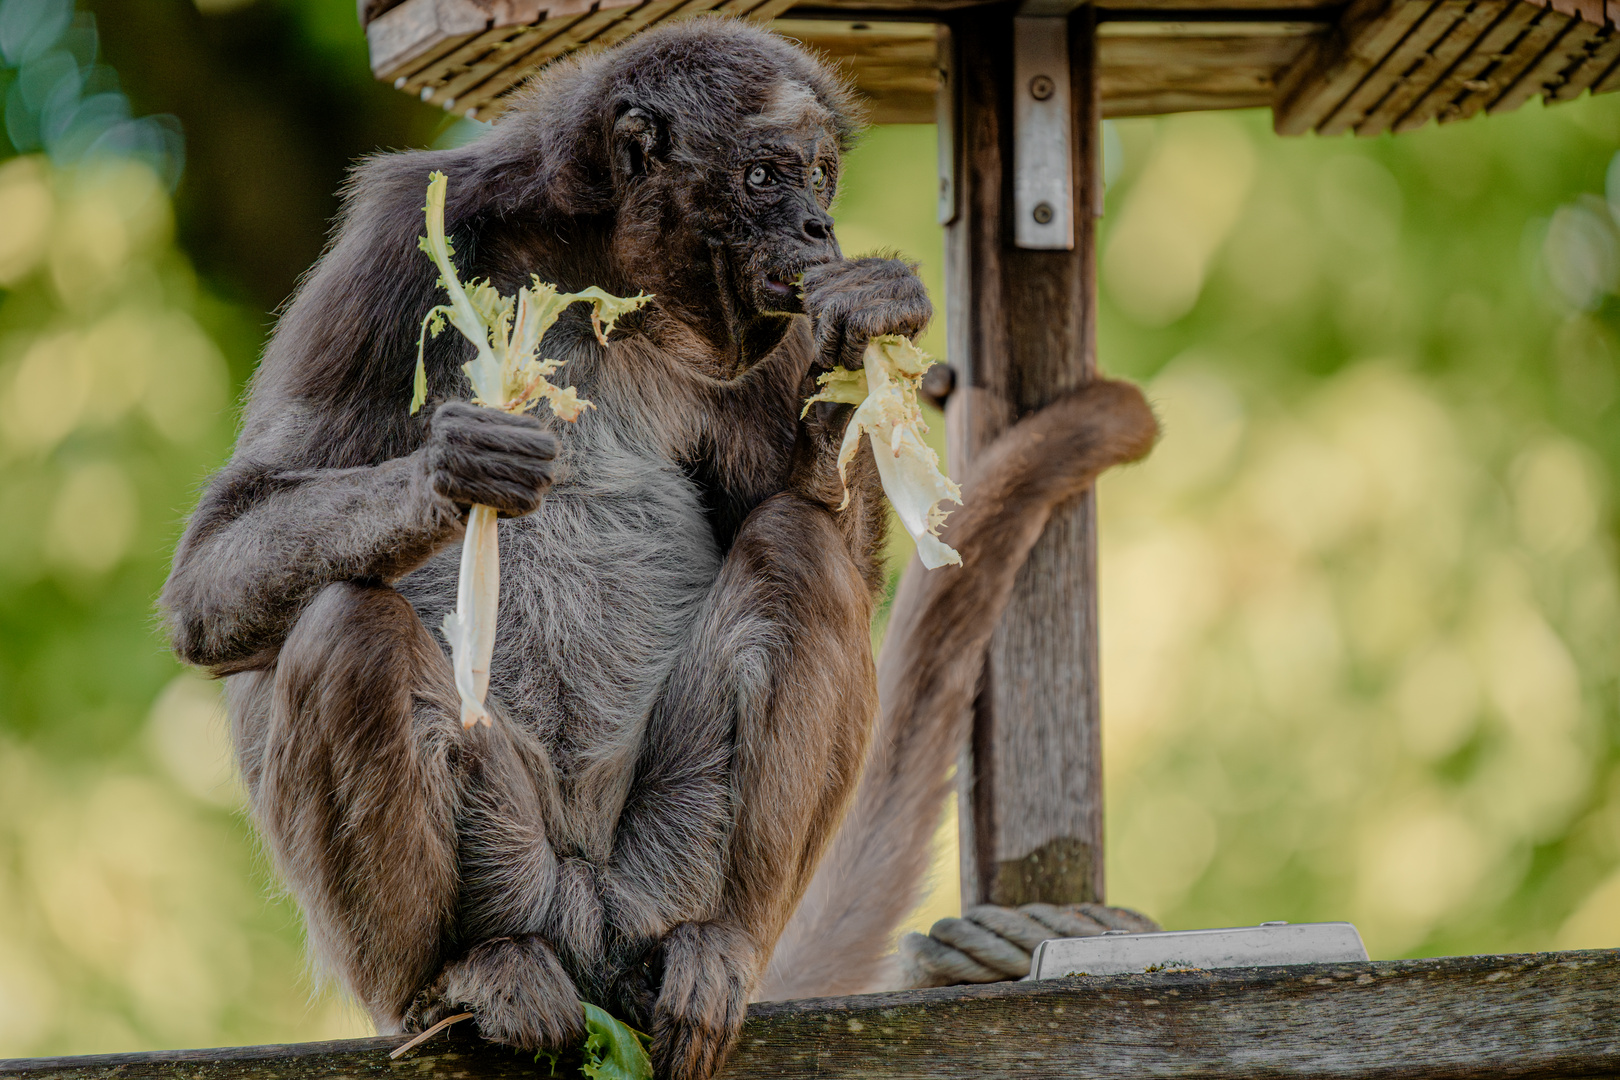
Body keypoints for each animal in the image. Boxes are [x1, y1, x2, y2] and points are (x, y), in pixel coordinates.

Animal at [157, 16, 1159, 1080]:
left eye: (821, 176)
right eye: (764, 176)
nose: (819, 229)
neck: (608, 267)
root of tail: (585, 918)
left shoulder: (773, 319)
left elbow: (821, 529)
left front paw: (867, 330)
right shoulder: (399, 237)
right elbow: (211, 570)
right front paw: (456, 470)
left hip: (661, 868)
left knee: (800, 553)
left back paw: (715, 947)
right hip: (507, 857)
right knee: (348, 622)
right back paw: (461, 974)